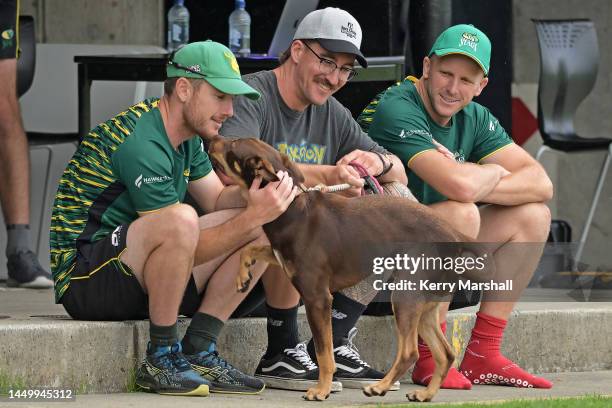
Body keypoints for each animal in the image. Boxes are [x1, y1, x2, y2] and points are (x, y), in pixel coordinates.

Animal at [208, 136, 486, 402]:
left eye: (233, 144)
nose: (211, 138)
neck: (292, 207)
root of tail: (454, 235)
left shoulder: (317, 299)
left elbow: (324, 352)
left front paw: (321, 390)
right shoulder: (281, 256)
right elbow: (250, 249)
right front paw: (243, 276)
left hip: (406, 297)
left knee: (410, 353)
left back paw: (379, 388)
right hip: (425, 307)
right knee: (446, 354)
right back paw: (425, 394)